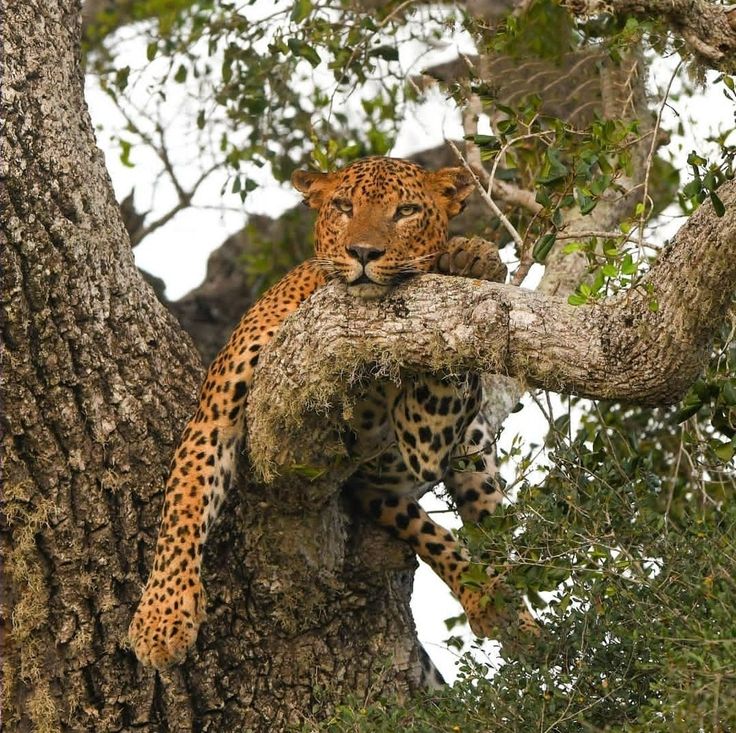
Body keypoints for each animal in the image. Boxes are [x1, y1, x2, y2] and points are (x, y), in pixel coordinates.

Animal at [128, 156, 535, 671]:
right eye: (343, 207)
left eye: (406, 211)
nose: (363, 252)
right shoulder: (214, 419)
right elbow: (182, 507)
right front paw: (161, 619)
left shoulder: (423, 434)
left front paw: (469, 258)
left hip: (466, 455)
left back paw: (504, 607)